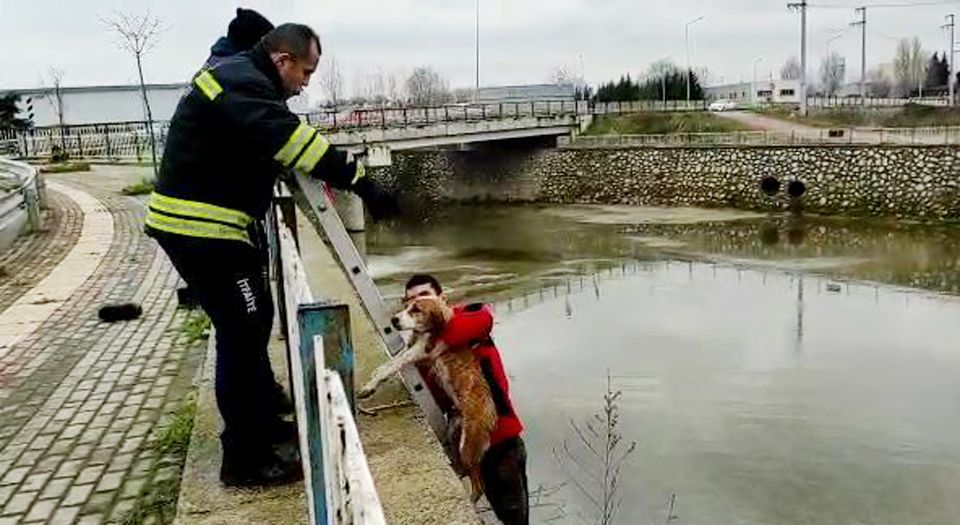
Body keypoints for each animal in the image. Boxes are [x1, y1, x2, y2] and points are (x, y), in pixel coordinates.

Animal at [358, 296, 496, 502]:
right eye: (406, 306)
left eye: (416, 310)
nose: (393, 320)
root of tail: (492, 416)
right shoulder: (413, 348)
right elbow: (389, 363)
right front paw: (372, 381)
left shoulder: (420, 351)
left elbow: (392, 365)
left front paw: (370, 386)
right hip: (454, 434)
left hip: (468, 445)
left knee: (479, 484)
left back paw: (470, 498)